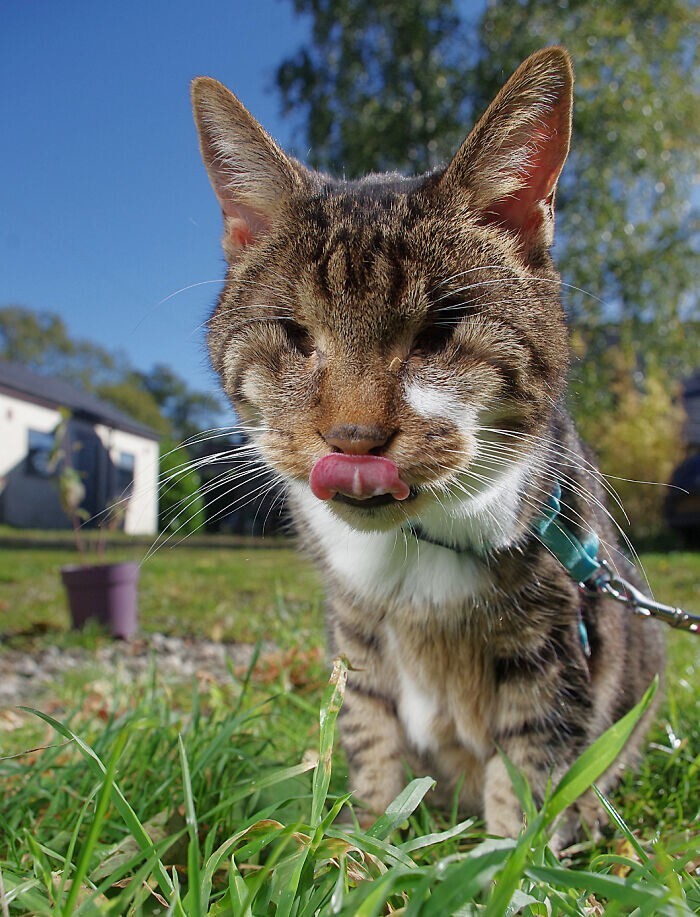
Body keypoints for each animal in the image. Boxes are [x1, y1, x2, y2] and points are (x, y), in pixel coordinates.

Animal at [191, 46, 660, 848]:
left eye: (439, 333)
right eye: (293, 333)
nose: (353, 439)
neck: (417, 549)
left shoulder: (555, 644)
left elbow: (531, 779)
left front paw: (507, 858)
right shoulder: (357, 634)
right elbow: (370, 742)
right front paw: (360, 844)